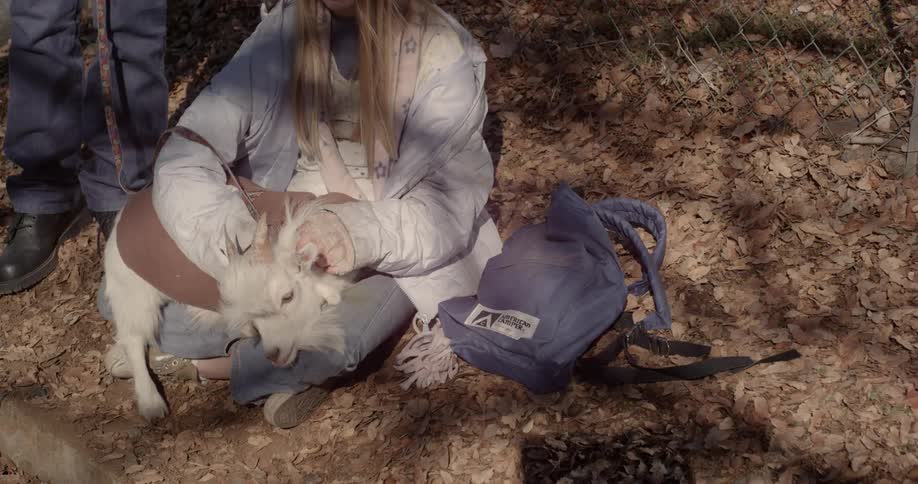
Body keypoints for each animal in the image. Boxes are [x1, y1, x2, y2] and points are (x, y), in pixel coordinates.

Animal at [103, 199, 349, 421]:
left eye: (287, 296)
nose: (273, 354)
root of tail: (125, 211)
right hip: (132, 291)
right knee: (133, 338)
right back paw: (151, 404)